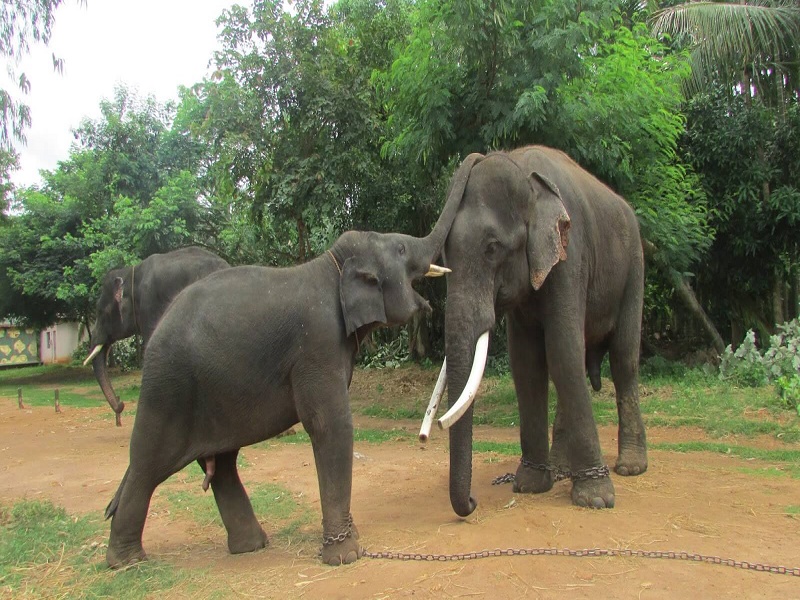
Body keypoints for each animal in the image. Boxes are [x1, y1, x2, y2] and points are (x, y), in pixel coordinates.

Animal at [103, 229, 449, 568]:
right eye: (401, 249)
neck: (332, 263)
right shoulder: (317, 345)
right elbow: (329, 425)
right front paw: (346, 556)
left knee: (222, 465)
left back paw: (250, 547)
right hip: (168, 388)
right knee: (147, 464)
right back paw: (127, 562)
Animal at [422, 145, 647, 516]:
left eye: (492, 248)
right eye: (444, 252)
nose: (472, 501)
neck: (523, 169)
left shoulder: (570, 254)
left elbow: (561, 350)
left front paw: (595, 499)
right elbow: (527, 363)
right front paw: (529, 485)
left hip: (634, 269)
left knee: (623, 360)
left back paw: (630, 467)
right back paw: (560, 469)